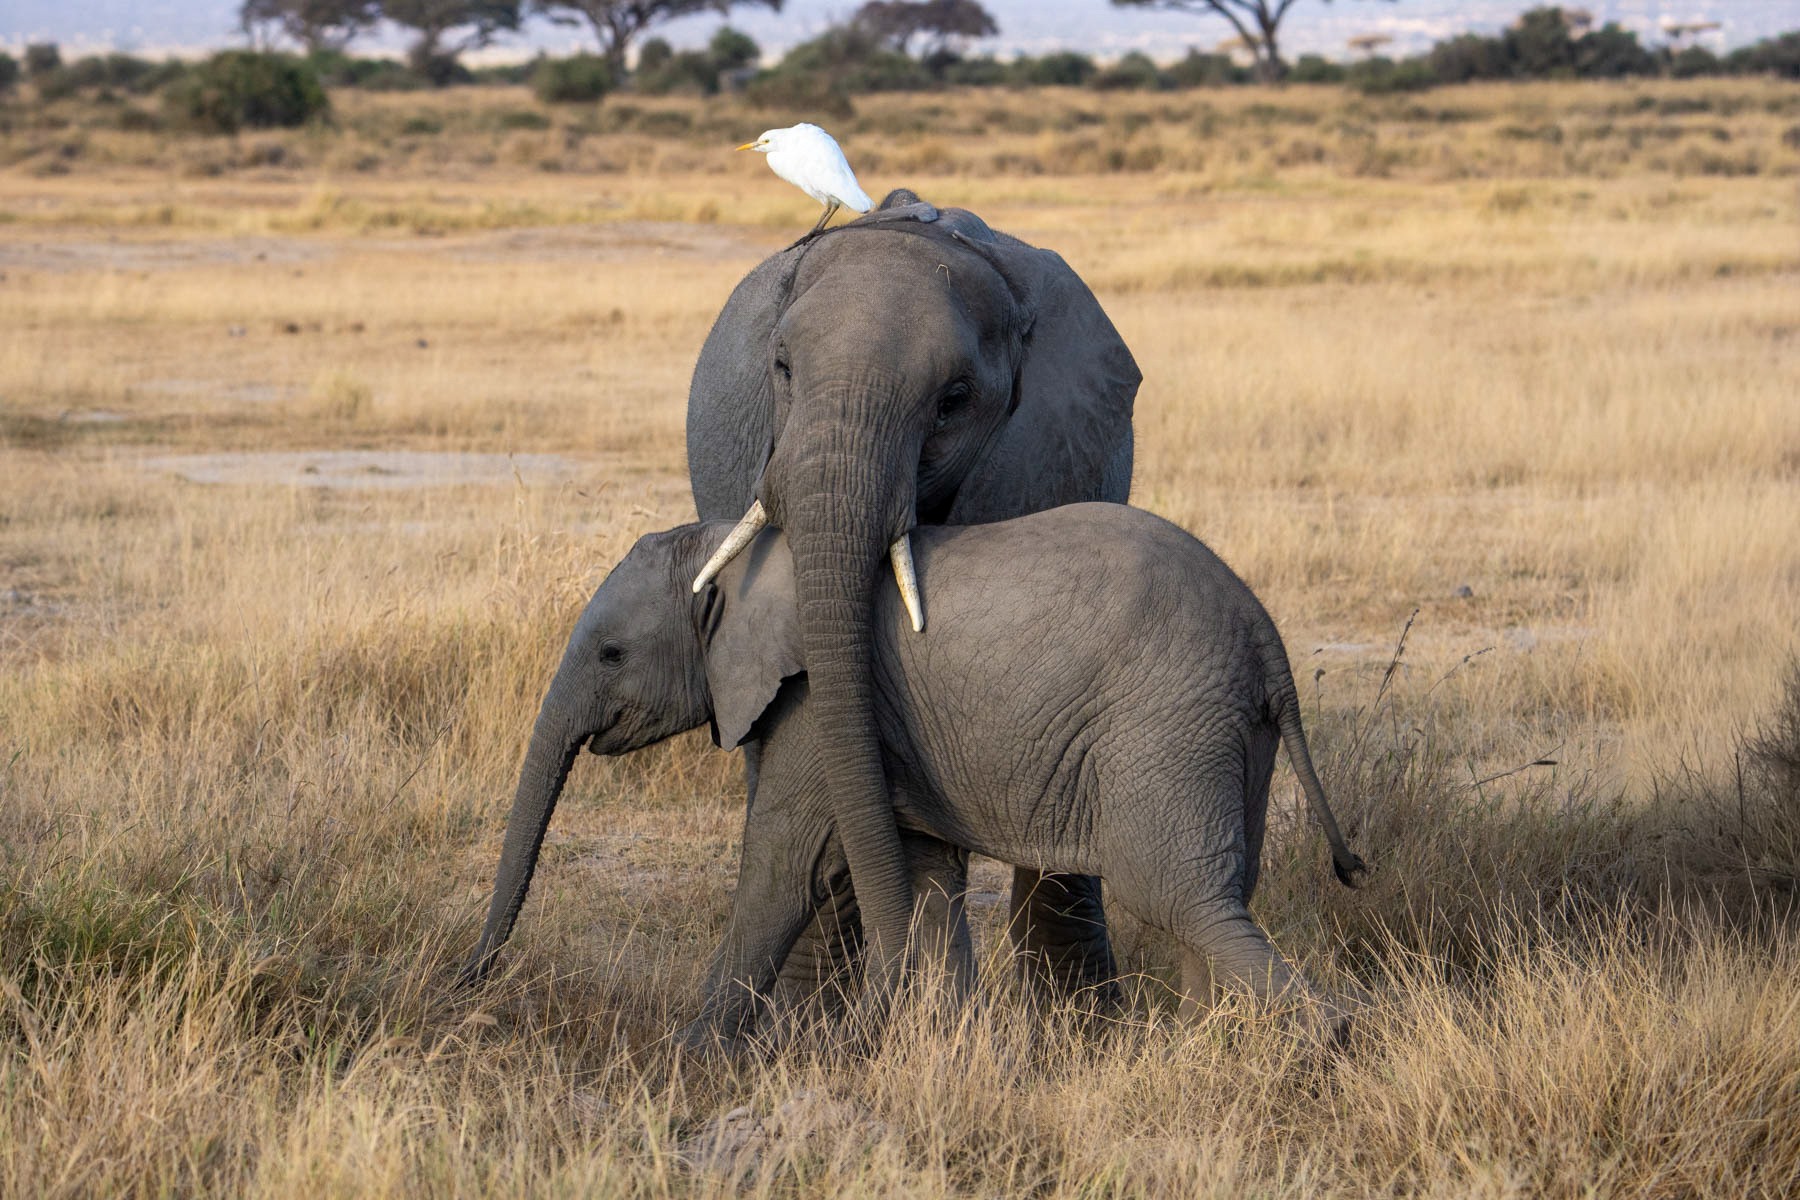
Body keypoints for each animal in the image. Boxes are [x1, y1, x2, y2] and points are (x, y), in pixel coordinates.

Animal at [460, 503, 1368, 1046]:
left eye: (613, 654)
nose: (466, 981)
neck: (736, 550)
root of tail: (1268, 640)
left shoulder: (813, 700)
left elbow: (784, 869)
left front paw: (688, 1058)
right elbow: (926, 877)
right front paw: (954, 1046)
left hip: (1166, 722)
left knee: (1177, 895)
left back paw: (1321, 1045)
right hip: (1224, 731)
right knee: (1215, 898)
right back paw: (1199, 1048)